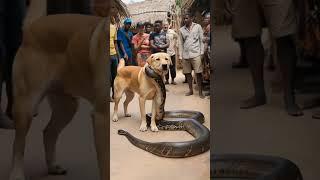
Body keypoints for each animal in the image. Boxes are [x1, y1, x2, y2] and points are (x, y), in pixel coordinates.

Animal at [9, 14, 109, 180]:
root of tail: (32, 26)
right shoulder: (101, 116)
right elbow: (106, 166)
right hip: (26, 106)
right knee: (18, 144)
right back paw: (16, 175)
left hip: (67, 106)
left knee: (49, 132)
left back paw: (52, 166)